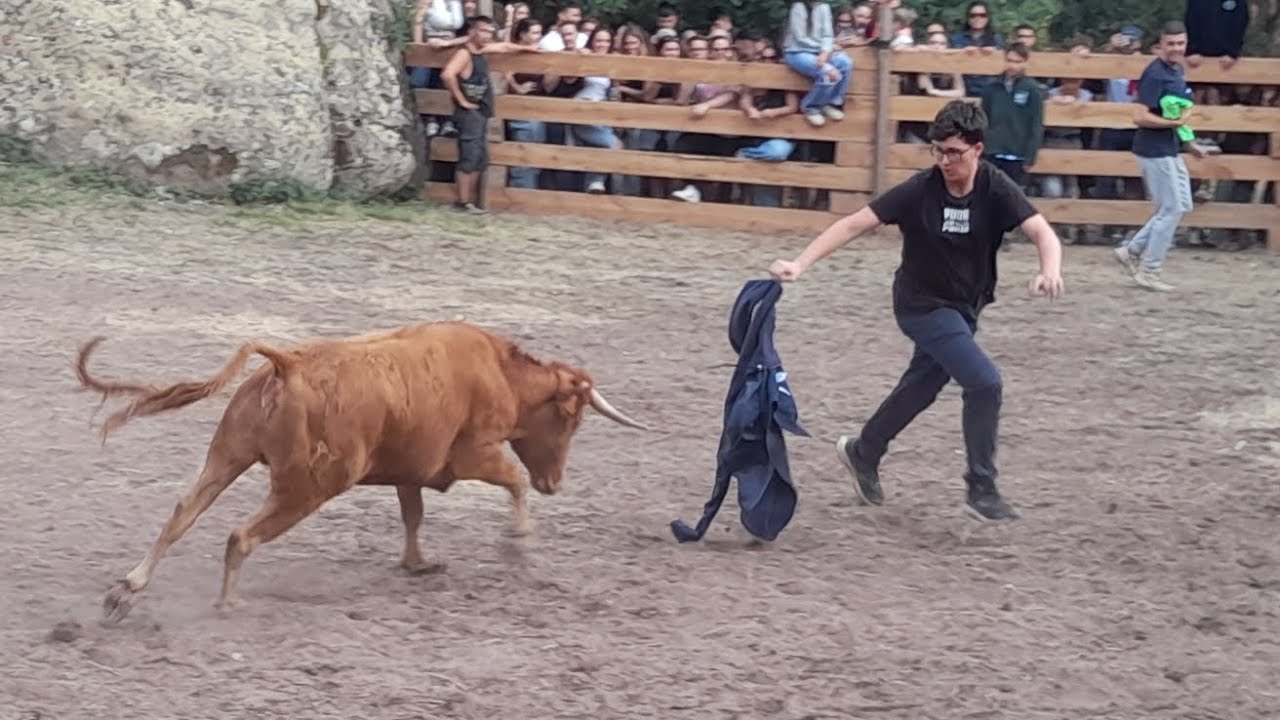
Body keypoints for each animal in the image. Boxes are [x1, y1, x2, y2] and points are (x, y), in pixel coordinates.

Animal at [74, 321, 649, 623]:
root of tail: (287, 363)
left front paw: (418, 564)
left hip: (226, 458)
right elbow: (512, 479)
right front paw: (520, 536)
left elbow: (413, 516)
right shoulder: (472, 457)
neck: (499, 372)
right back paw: (228, 600)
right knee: (241, 536)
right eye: (571, 419)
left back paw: (127, 589)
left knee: (181, 515)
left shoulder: (410, 472)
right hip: (303, 490)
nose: (557, 484)